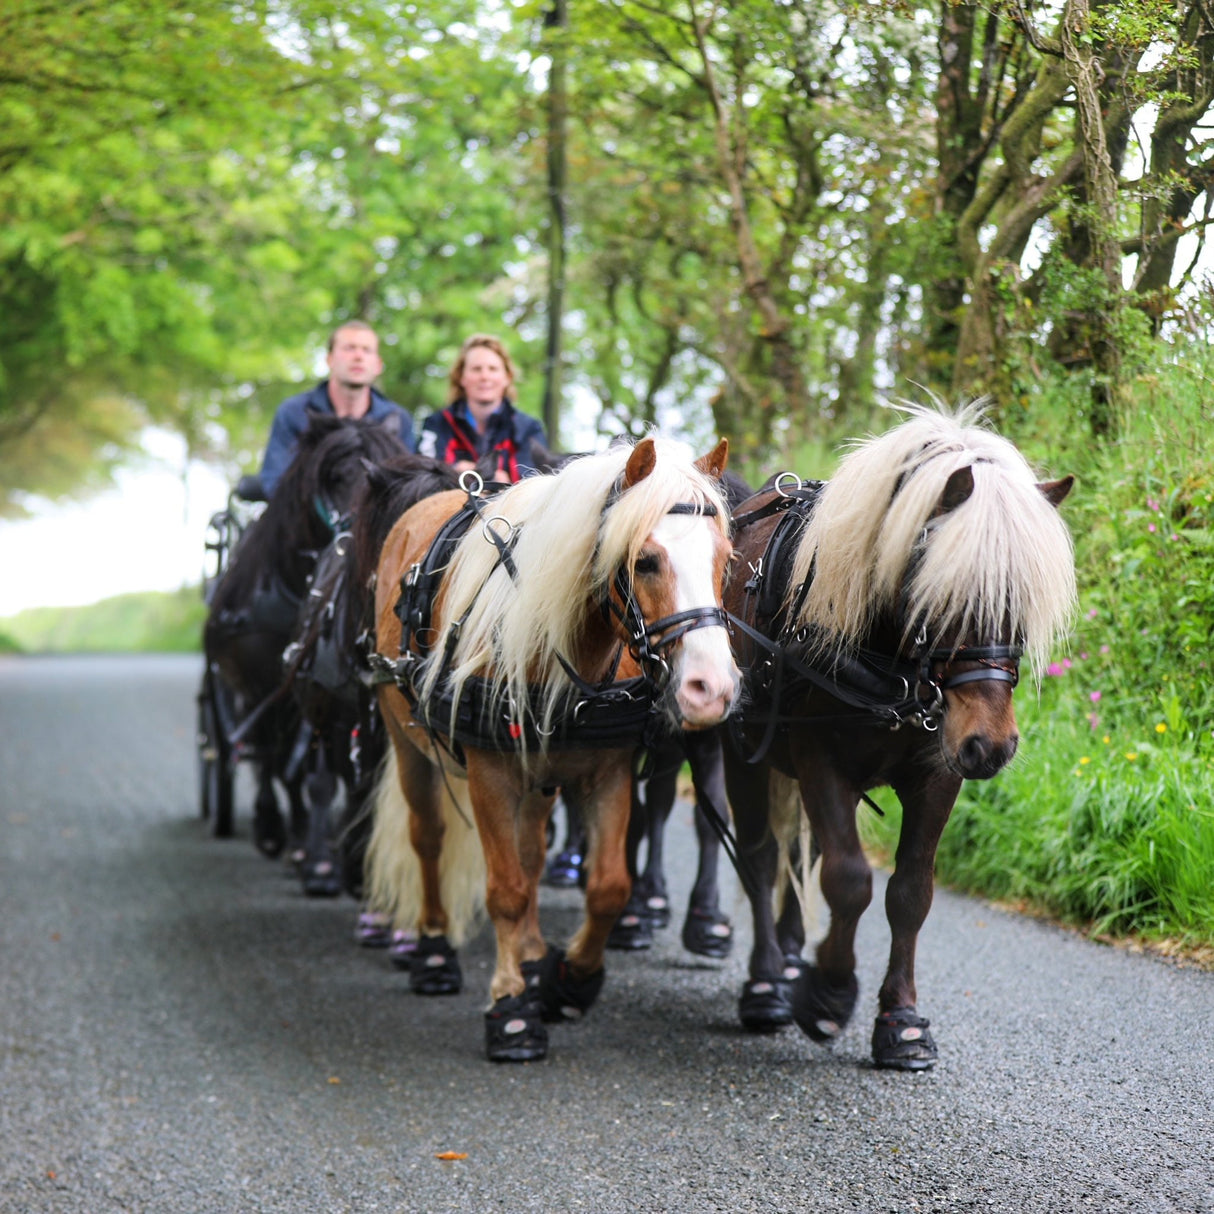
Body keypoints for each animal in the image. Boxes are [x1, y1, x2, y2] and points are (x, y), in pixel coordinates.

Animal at [364, 437, 733, 1063]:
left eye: (726, 559)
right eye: (645, 560)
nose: (711, 688)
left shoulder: (607, 773)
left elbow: (607, 887)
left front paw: (568, 982)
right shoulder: (490, 776)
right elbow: (506, 890)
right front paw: (511, 1009)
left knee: (532, 851)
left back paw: (535, 957)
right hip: (407, 739)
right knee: (428, 837)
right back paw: (434, 950)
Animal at [718, 400, 1073, 1073]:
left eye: (1021, 603)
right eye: (945, 593)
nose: (991, 746)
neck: (894, 662)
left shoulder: (938, 773)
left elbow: (910, 893)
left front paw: (901, 1022)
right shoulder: (820, 761)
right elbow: (849, 879)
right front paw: (828, 994)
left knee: (795, 856)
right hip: (742, 751)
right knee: (759, 857)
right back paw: (767, 983)